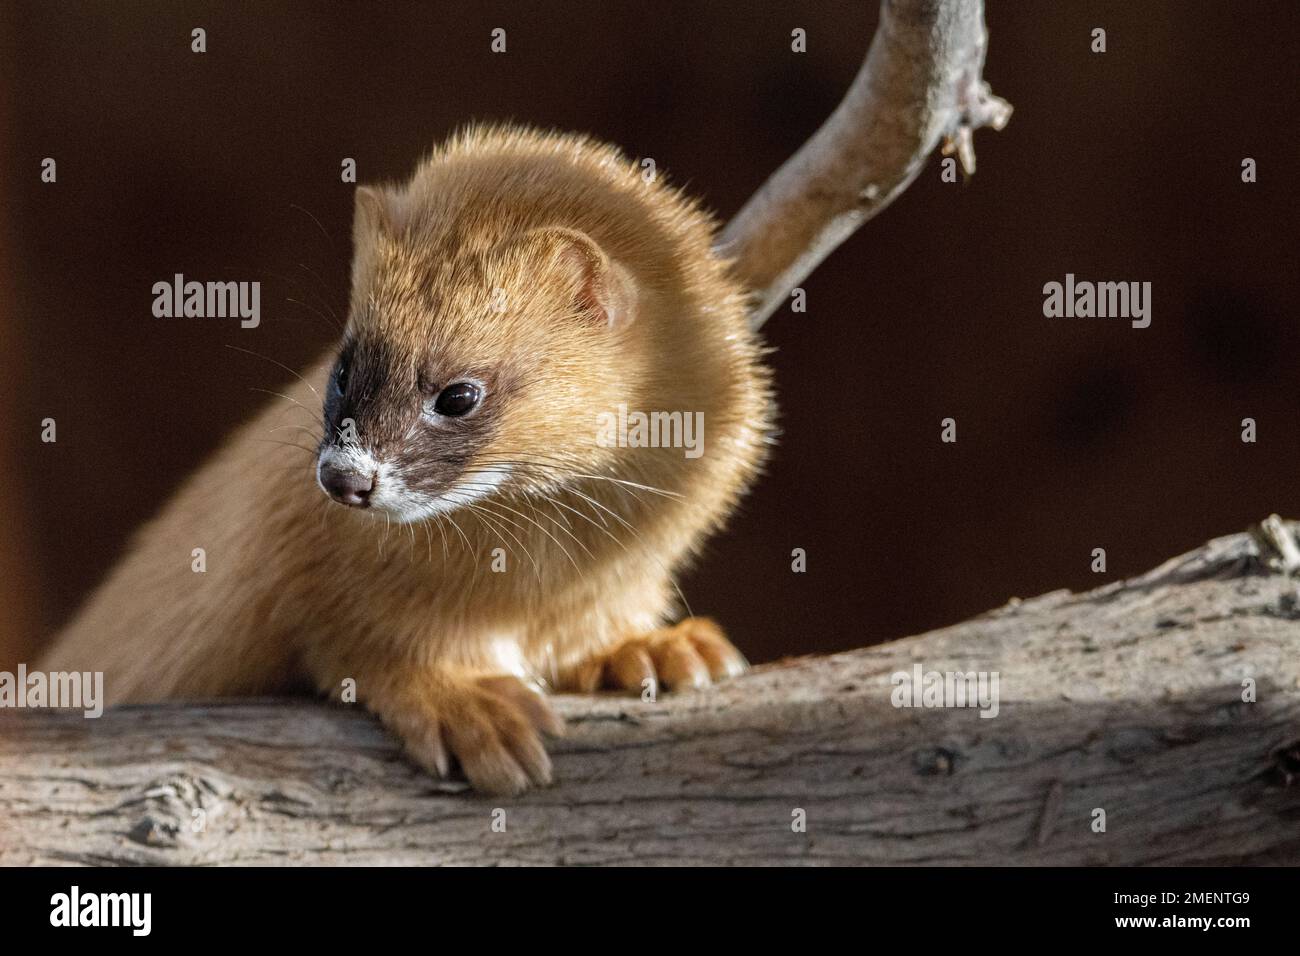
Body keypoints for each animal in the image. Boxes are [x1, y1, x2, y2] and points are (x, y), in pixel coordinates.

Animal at [38, 128, 769, 801]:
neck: (531, 588)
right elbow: (367, 640)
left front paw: (653, 648)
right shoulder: (298, 564)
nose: (344, 477)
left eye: (459, 394)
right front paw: (470, 707)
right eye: (343, 365)